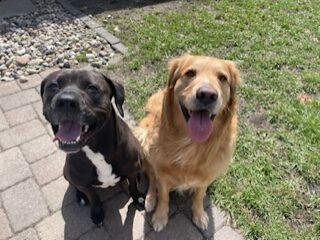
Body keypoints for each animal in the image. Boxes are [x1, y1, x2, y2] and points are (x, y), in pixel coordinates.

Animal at [41, 68, 145, 226]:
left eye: (92, 88)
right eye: (53, 86)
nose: (66, 101)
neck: (95, 148)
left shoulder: (132, 170)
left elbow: (133, 186)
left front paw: (138, 198)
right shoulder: (84, 183)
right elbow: (93, 197)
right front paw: (96, 212)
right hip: (66, 172)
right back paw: (81, 196)